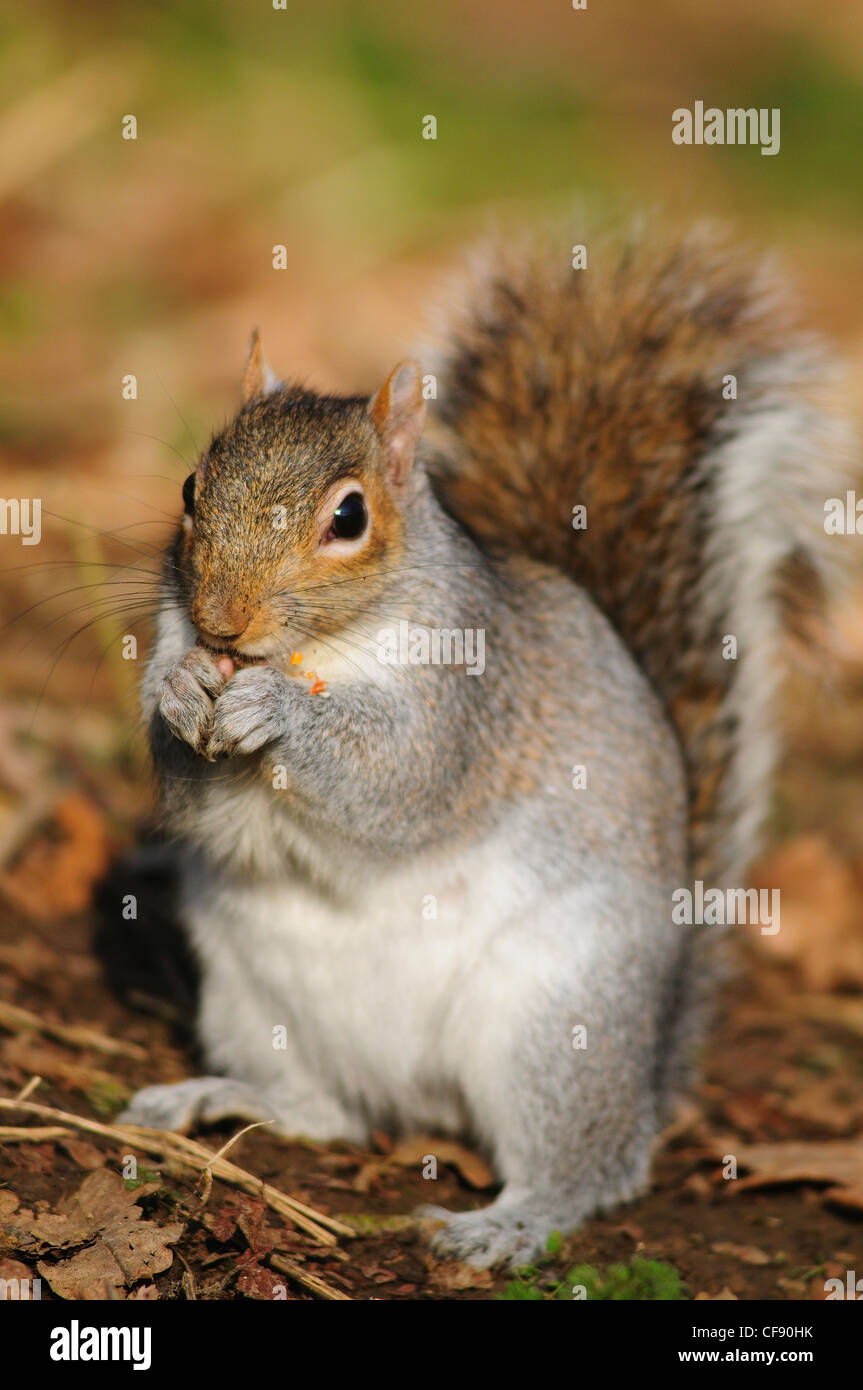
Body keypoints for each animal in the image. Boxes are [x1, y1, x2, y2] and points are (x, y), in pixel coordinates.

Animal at [121, 223, 845, 1268]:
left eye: (348, 517)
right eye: (189, 486)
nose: (221, 622)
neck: (325, 648)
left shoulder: (467, 700)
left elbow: (400, 781)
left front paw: (280, 713)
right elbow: (194, 796)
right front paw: (181, 694)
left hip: (551, 1019)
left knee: (591, 1168)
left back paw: (511, 1221)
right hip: (249, 1002)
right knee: (329, 1114)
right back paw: (217, 1095)